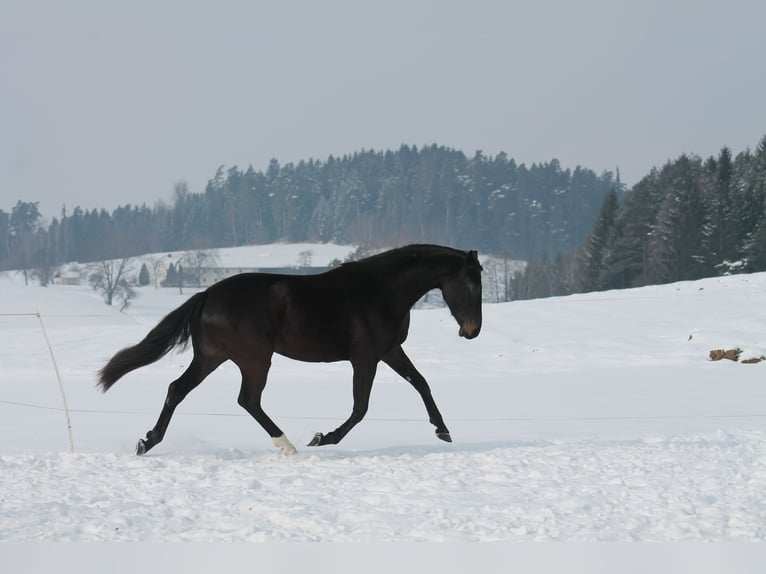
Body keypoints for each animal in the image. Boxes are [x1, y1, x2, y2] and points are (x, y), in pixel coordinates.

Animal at [99, 245, 484, 456]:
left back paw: (147, 442)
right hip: (254, 359)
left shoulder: (390, 352)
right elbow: (360, 408)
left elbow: (421, 383)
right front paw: (321, 438)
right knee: (247, 399)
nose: (472, 331)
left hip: (212, 356)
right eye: (473, 284)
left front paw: (443, 430)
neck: (382, 291)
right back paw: (288, 445)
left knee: (177, 389)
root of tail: (207, 295)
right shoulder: (365, 358)